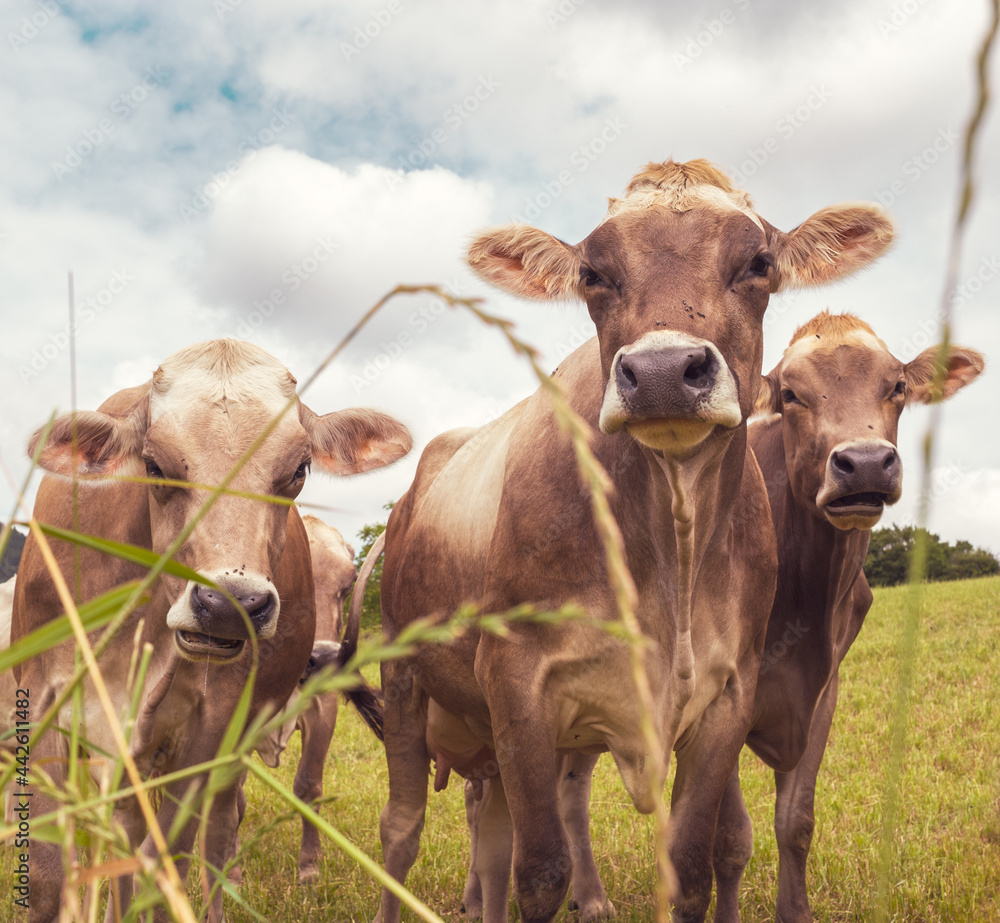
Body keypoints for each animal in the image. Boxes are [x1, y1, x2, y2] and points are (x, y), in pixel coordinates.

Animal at [11, 342, 410, 923]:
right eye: (154, 464)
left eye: (299, 469)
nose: (229, 606)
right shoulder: (43, 700)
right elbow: (49, 877)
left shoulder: (213, 723)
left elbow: (167, 864)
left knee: (220, 828)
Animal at [372, 161, 896, 923]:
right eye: (594, 273)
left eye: (758, 263)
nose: (661, 373)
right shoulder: (518, 682)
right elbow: (541, 871)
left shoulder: (727, 696)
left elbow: (693, 868)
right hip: (405, 675)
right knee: (403, 829)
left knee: (490, 833)